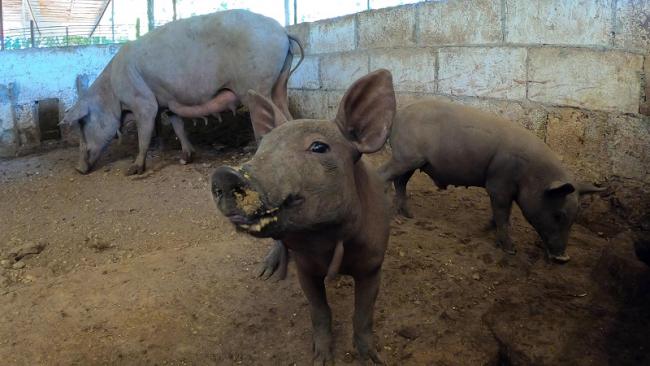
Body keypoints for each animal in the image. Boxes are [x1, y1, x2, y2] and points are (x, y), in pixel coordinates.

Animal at [210, 70, 392, 364]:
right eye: (262, 150)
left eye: (318, 147)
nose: (226, 174)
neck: (329, 240)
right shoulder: (306, 269)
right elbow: (319, 311)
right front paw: (321, 360)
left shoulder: (373, 264)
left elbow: (363, 315)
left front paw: (373, 358)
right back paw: (266, 273)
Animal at [378, 98, 604, 262]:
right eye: (558, 215)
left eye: (574, 218)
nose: (563, 258)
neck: (532, 174)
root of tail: (398, 116)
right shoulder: (499, 184)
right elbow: (503, 214)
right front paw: (510, 250)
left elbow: (499, 214)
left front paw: (485, 229)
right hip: (405, 157)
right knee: (383, 174)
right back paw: (392, 215)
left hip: (413, 161)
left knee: (400, 182)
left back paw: (409, 215)